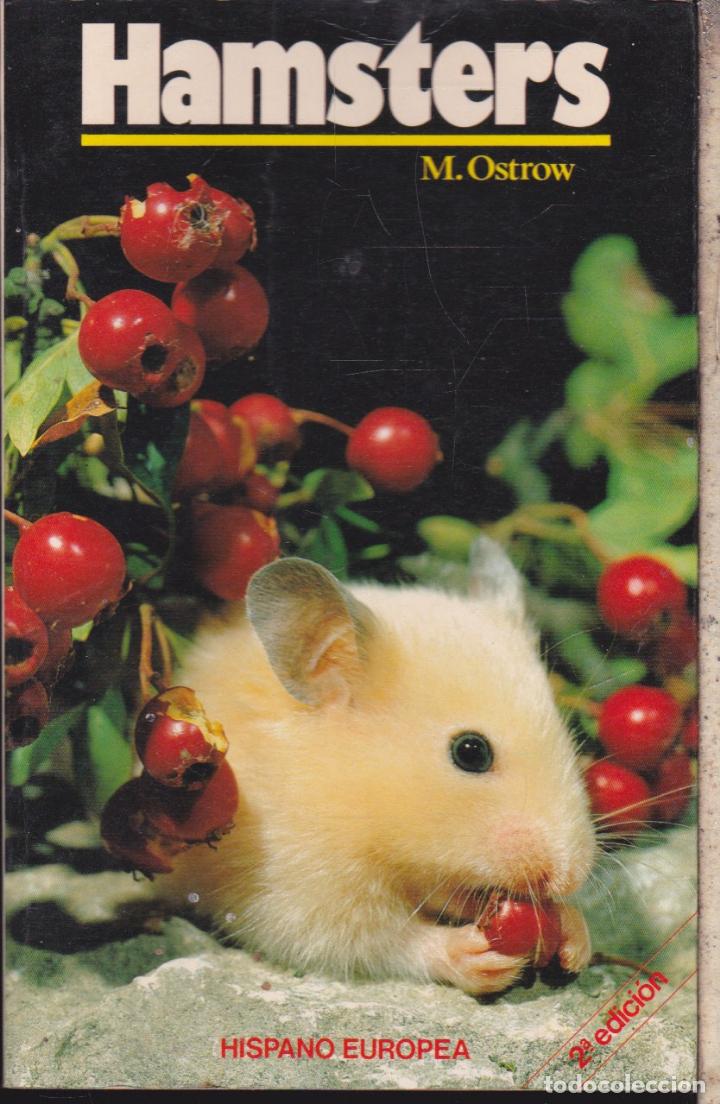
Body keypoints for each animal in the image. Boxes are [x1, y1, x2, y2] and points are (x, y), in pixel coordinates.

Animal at [157, 537, 597, 995]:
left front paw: (574, 938)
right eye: (471, 752)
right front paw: (478, 958)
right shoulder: (298, 887)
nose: (570, 876)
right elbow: (382, 940)